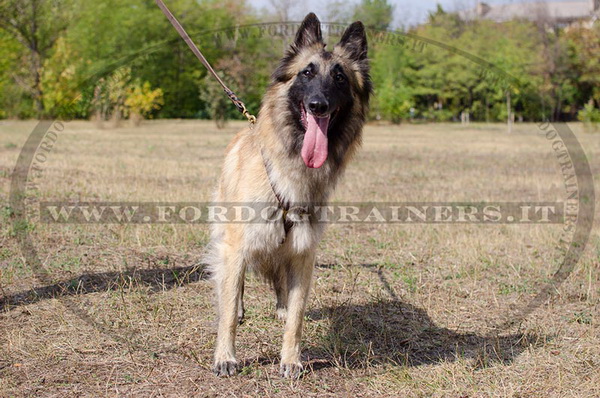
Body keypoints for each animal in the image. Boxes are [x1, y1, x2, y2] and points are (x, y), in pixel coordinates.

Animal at [207, 12, 370, 378]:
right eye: (306, 73)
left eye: (339, 78)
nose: (318, 105)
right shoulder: (238, 246)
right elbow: (227, 311)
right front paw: (226, 356)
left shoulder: (303, 252)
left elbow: (296, 316)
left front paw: (291, 359)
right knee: (235, 284)